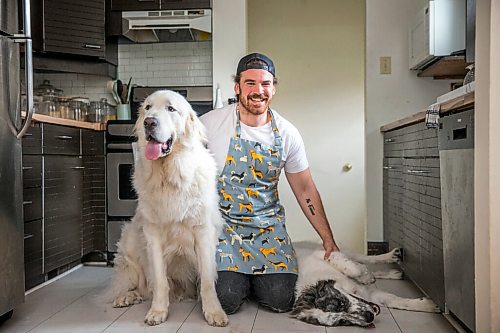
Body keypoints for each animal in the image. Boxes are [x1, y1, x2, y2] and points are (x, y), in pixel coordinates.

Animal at [109, 89, 229, 326]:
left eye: (171, 109)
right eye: (147, 107)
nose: (149, 122)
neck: (171, 175)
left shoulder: (203, 232)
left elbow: (207, 281)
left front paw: (213, 312)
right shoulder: (153, 235)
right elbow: (159, 280)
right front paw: (158, 311)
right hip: (130, 244)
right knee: (136, 283)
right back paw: (126, 297)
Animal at [292, 241, 440, 326]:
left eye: (341, 303)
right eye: (343, 321)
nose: (369, 317)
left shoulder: (325, 253)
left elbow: (353, 268)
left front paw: (365, 276)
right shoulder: (371, 297)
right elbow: (396, 301)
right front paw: (428, 305)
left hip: (339, 250)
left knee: (364, 259)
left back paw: (390, 257)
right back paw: (392, 274)